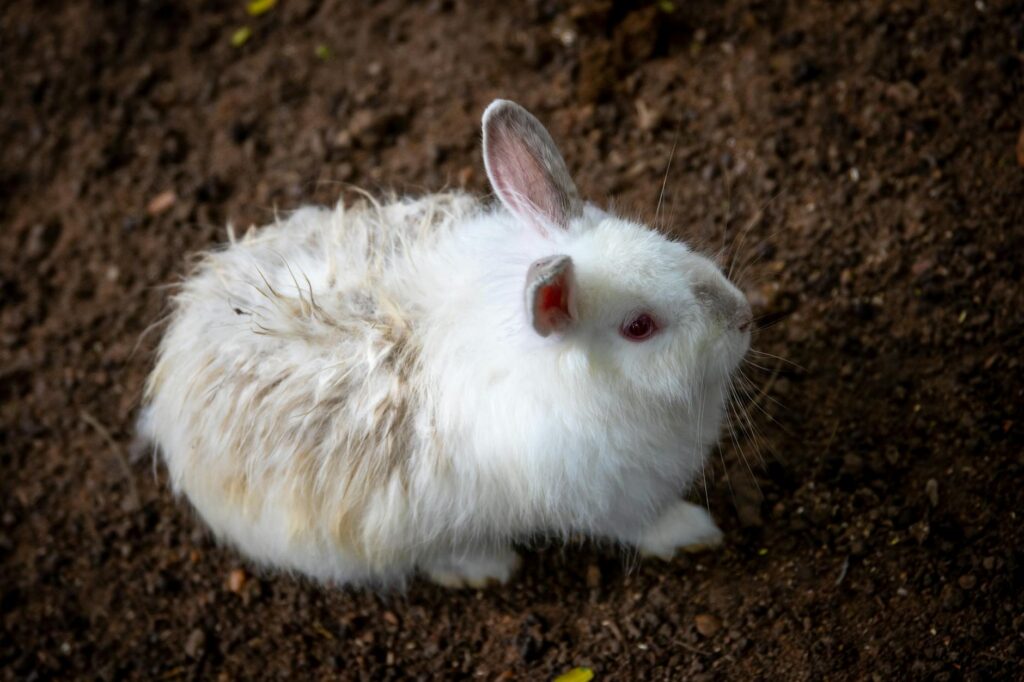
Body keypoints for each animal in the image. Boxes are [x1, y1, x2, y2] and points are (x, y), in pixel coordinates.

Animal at [139, 99, 752, 588]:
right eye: (639, 327)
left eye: (665, 242)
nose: (743, 316)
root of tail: (170, 400)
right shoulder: (611, 498)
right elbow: (645, 526)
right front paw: (696, 531)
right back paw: (486, 567)